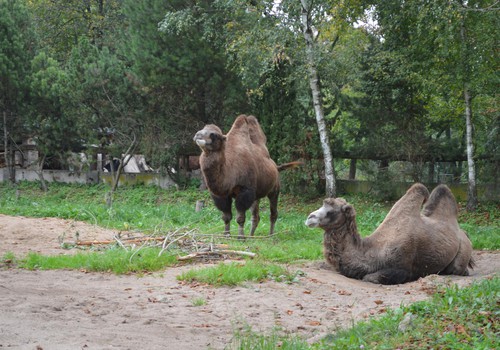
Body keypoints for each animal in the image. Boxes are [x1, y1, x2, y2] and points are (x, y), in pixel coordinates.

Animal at [304, 183, 472, 284]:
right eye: (323, 204)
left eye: (331, 211)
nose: (310, 218)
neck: (373, 252)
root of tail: (463, 232)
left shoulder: (402, 269)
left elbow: (369, 277)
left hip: (463, 251)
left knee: (456, 268)